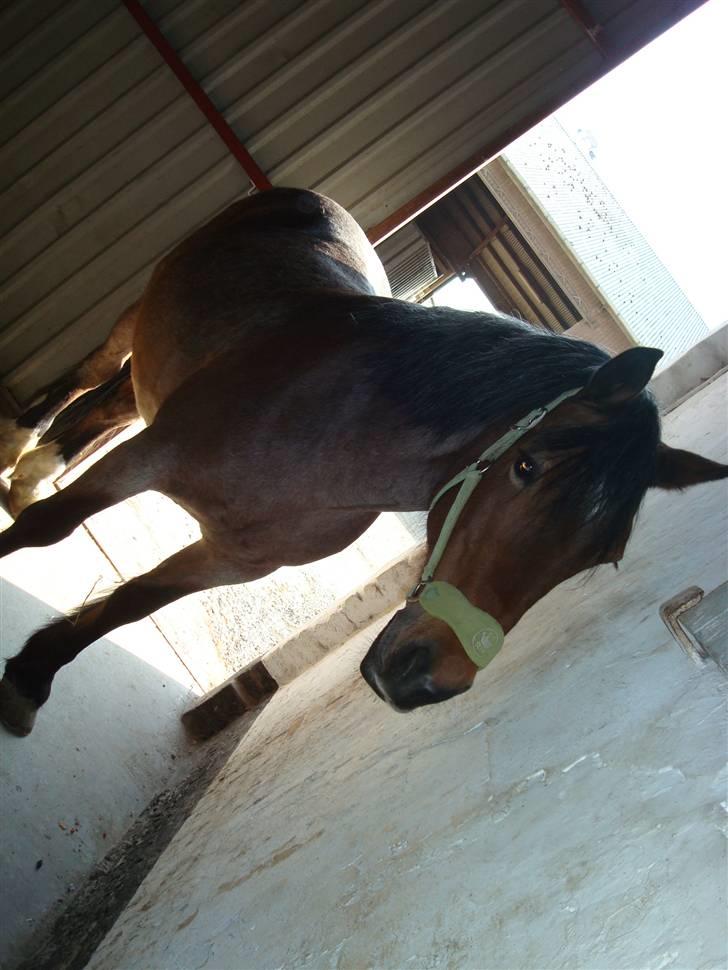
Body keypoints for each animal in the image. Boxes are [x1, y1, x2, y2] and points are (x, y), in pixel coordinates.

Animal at [0, 189, 724, 732]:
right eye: (527, 468)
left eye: (603, 556)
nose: (427, 680)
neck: (331, 437)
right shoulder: (151, 458)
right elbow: (48, 531)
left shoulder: (236, 556)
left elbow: (131, 603)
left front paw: (31, 677)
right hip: (134, 315)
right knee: (87, 379)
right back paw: (18, 447)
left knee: (110, 404)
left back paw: (31, 471)